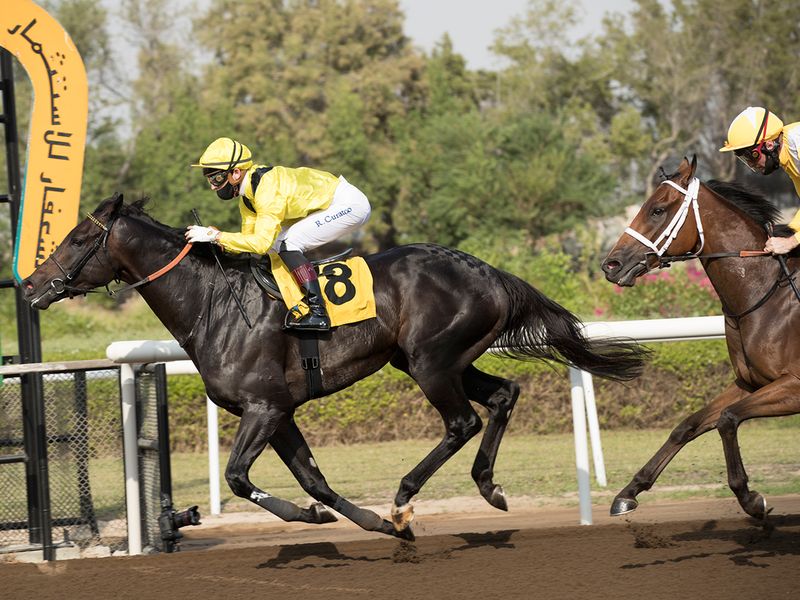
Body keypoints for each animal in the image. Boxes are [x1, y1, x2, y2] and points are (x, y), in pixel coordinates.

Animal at [23, 196, 648, 540]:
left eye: (78, 238)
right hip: (435, 358)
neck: (212, 305)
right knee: (502, 396)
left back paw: (405, 497)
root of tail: (490, 271)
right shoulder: (278, 412)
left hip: (431, 361)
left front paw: (327, 516)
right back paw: (487, 488)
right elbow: (313, 479)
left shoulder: (264, 406)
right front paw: (360, 523)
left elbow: (239, 477)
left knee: (462, 422)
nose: (29, 285)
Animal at [600, 156, 800, 520]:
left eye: (657, 210)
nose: (611, 264)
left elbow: (727, 419)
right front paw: (628, 492)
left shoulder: (794, 386)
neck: (765, 293)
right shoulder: (750, 382)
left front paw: (750, 498)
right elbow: (689, 424)